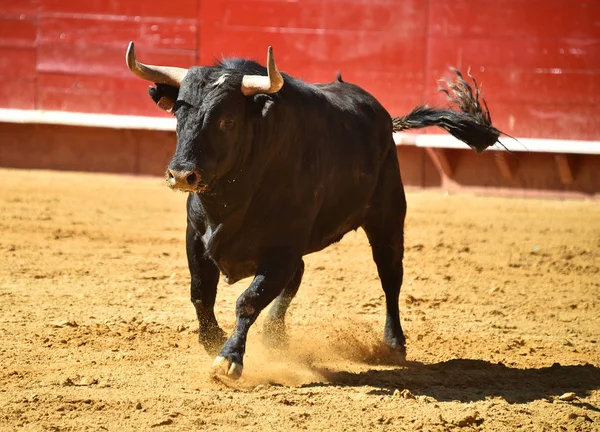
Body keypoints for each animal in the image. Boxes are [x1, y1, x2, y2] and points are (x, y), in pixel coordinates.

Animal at [126, 41, 502, 378]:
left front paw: (228, 359)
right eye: (179, 112)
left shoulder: (282, 248)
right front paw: (213, 340)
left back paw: (394, 344)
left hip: (388, 220)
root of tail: (383, 117)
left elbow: (249, 299)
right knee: (300, 276)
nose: (181, 174)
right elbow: (201, 293)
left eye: (228, 120)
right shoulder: (196, 237)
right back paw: (275, 335)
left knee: (390, 277)